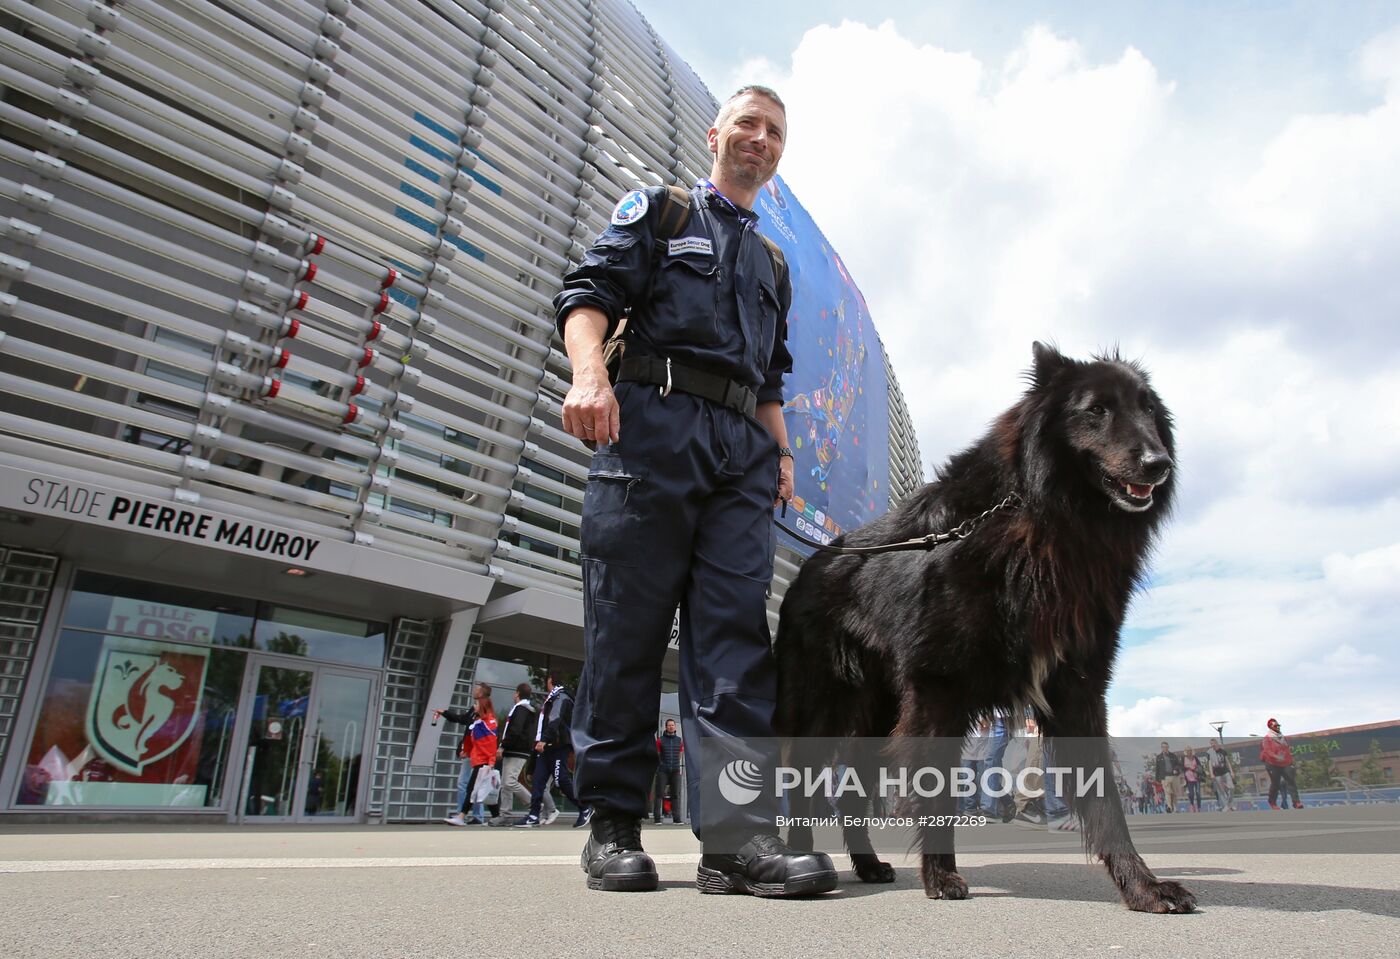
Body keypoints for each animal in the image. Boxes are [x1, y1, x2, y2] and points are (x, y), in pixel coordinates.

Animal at [778, 340, 1192, 907]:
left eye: (1148, 409)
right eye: (1097, 410)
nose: (1159, 464)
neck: (1041, 517)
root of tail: (809, 562)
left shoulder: (1079, 687)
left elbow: (1105, 799)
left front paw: (1143, 886)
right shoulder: (939, 688)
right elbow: (937, 789)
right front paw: (940, 875)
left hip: (879, 714)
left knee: (850, 794)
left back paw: (867, 864)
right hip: (827, 708)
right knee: (803, 785)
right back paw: (801, 863)